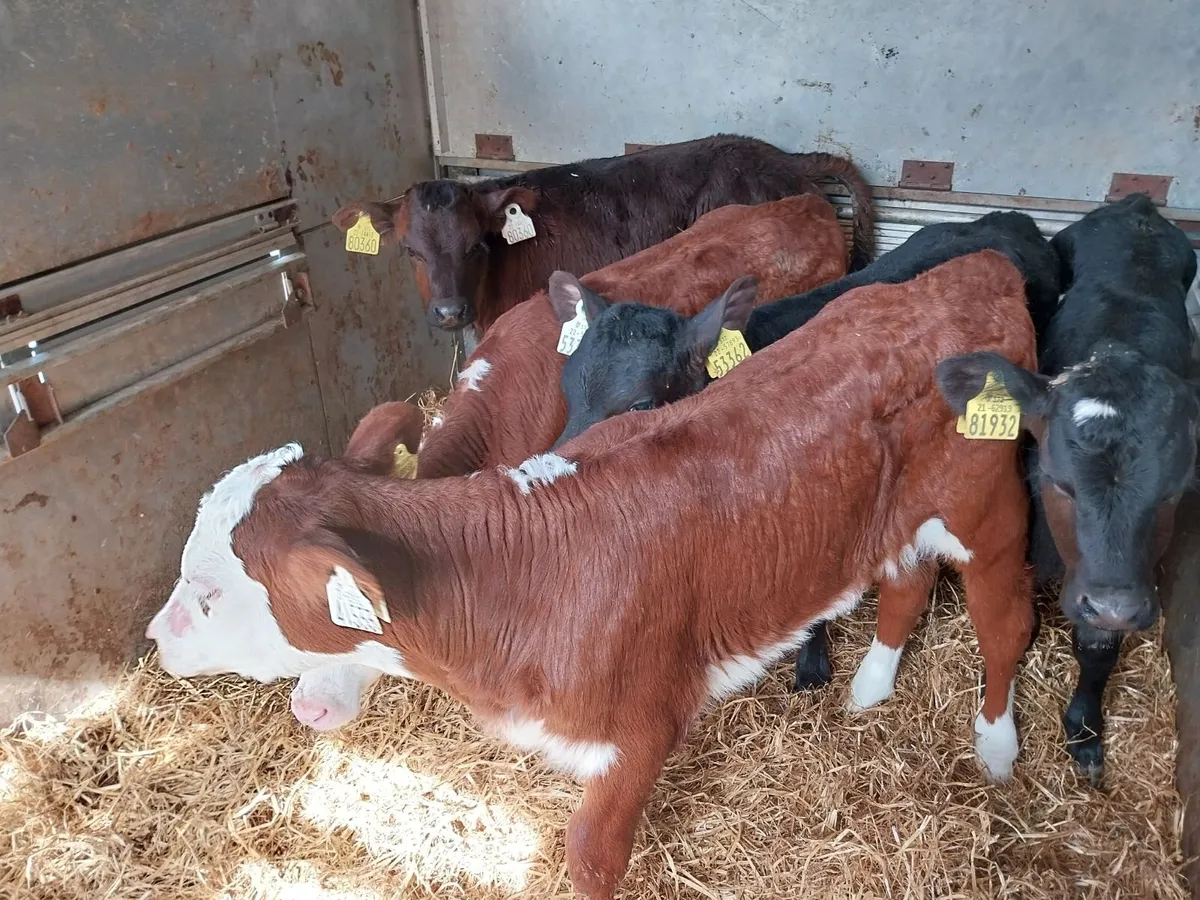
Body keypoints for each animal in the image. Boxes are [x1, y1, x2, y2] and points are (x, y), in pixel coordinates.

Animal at [146, 249, 1036, 900]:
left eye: (210, 592)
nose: (155, 637)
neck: (519, 575)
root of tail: (976, 268)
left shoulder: (642, 727)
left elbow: (590, 854)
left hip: (989, 511)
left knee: (1004, 622)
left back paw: (995, 750)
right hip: (900, 520)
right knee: (907, 582)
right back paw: (870, 690)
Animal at [938, 193, 1200, 783]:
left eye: (1173, 492)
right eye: (1056, 482)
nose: (1113, 606)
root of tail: (1139, 207)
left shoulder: (1123, 580)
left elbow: (1097, 648)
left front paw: (1084, 729)